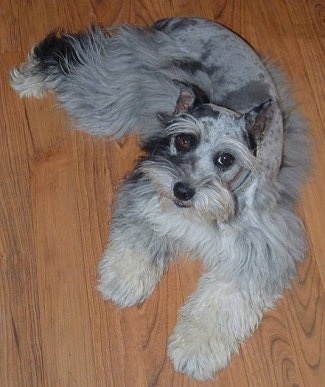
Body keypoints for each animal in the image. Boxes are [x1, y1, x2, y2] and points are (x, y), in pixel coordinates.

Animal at [10, 16, 308, 380]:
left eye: (225, 158)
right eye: (183, 140)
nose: (183, 190)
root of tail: (184, 21)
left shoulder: (259, 251)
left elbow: (224, 299)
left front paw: (195, 349)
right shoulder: (148, 191)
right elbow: (139, 237)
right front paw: (123, 279)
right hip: (117, 90)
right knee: (77, 52)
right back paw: (33, 75)